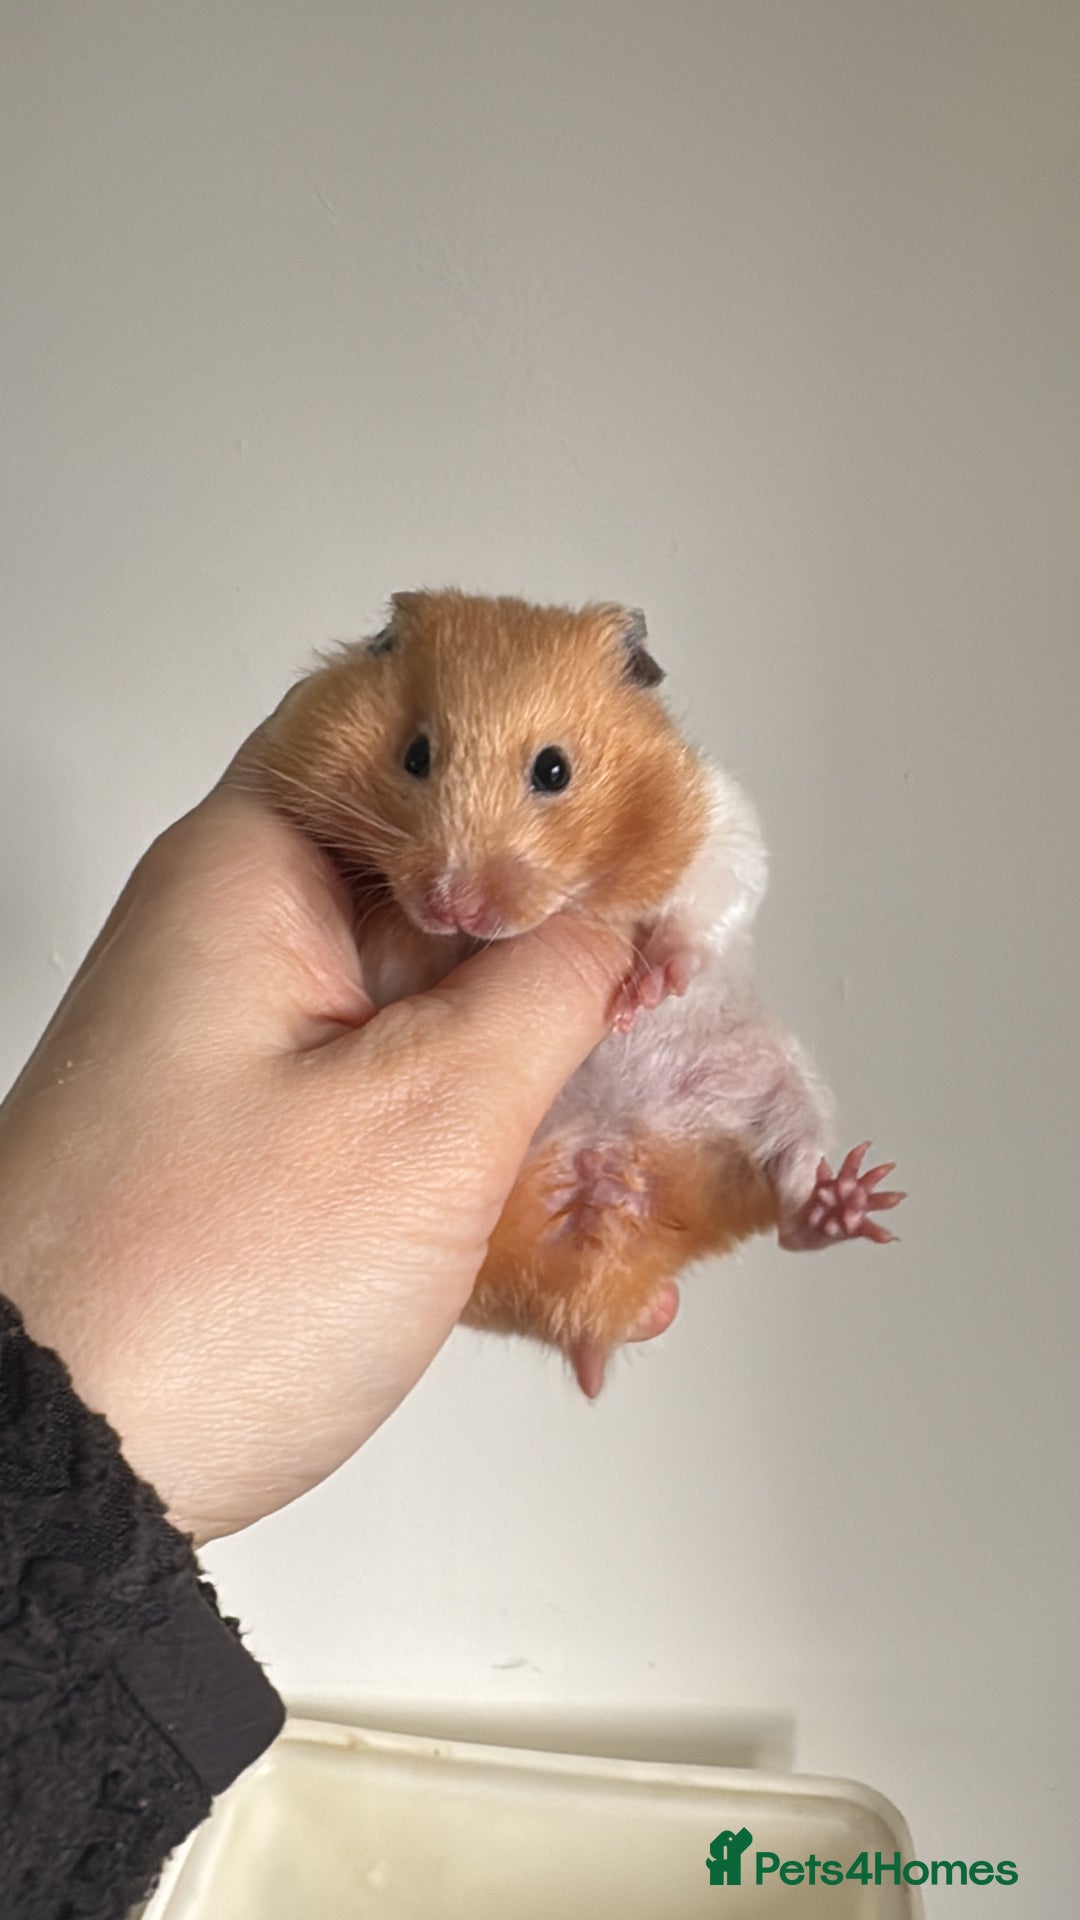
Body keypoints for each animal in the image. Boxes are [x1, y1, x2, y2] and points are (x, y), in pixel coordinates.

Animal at [238, 590, 904, 1395]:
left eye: (554, 769)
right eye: (415, 756)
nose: (454, 904)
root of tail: (596, 1293)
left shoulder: (719, 821)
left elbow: (703, 907)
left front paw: (646, 989)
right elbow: (393, 955)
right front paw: (429, 937)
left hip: (776, 1084)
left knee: (791, 1200)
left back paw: (846, 1201)